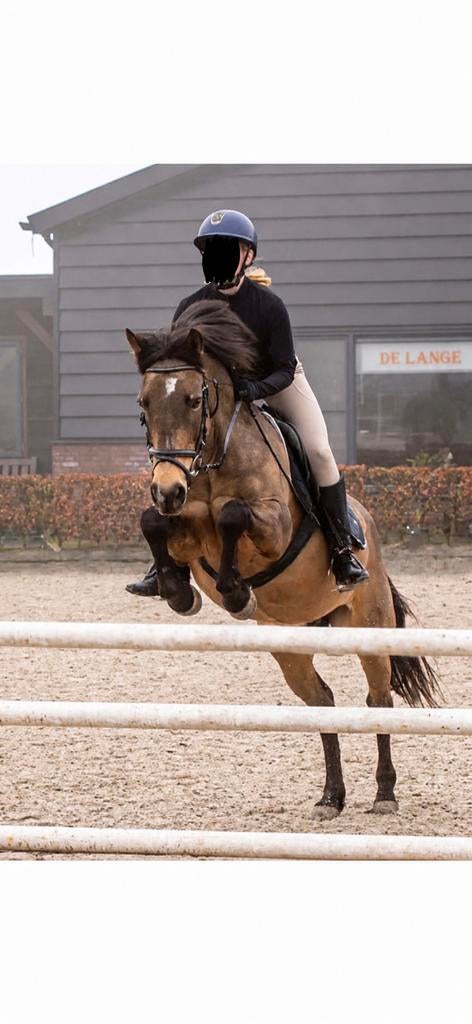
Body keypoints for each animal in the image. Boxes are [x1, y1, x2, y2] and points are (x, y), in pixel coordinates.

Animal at [126, 299, 440, 819]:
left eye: (194, 400)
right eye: (144, 405)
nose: (168, 487)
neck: (210, 464)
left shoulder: (274, 527)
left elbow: (232, 515)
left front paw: (236, 592)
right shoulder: (182, 520)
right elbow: (154, 522)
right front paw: (173, 589)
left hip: (369, 625)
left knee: (377, 699)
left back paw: (384, 793)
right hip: (290, 643)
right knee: (323, 701)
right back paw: (331, 797)